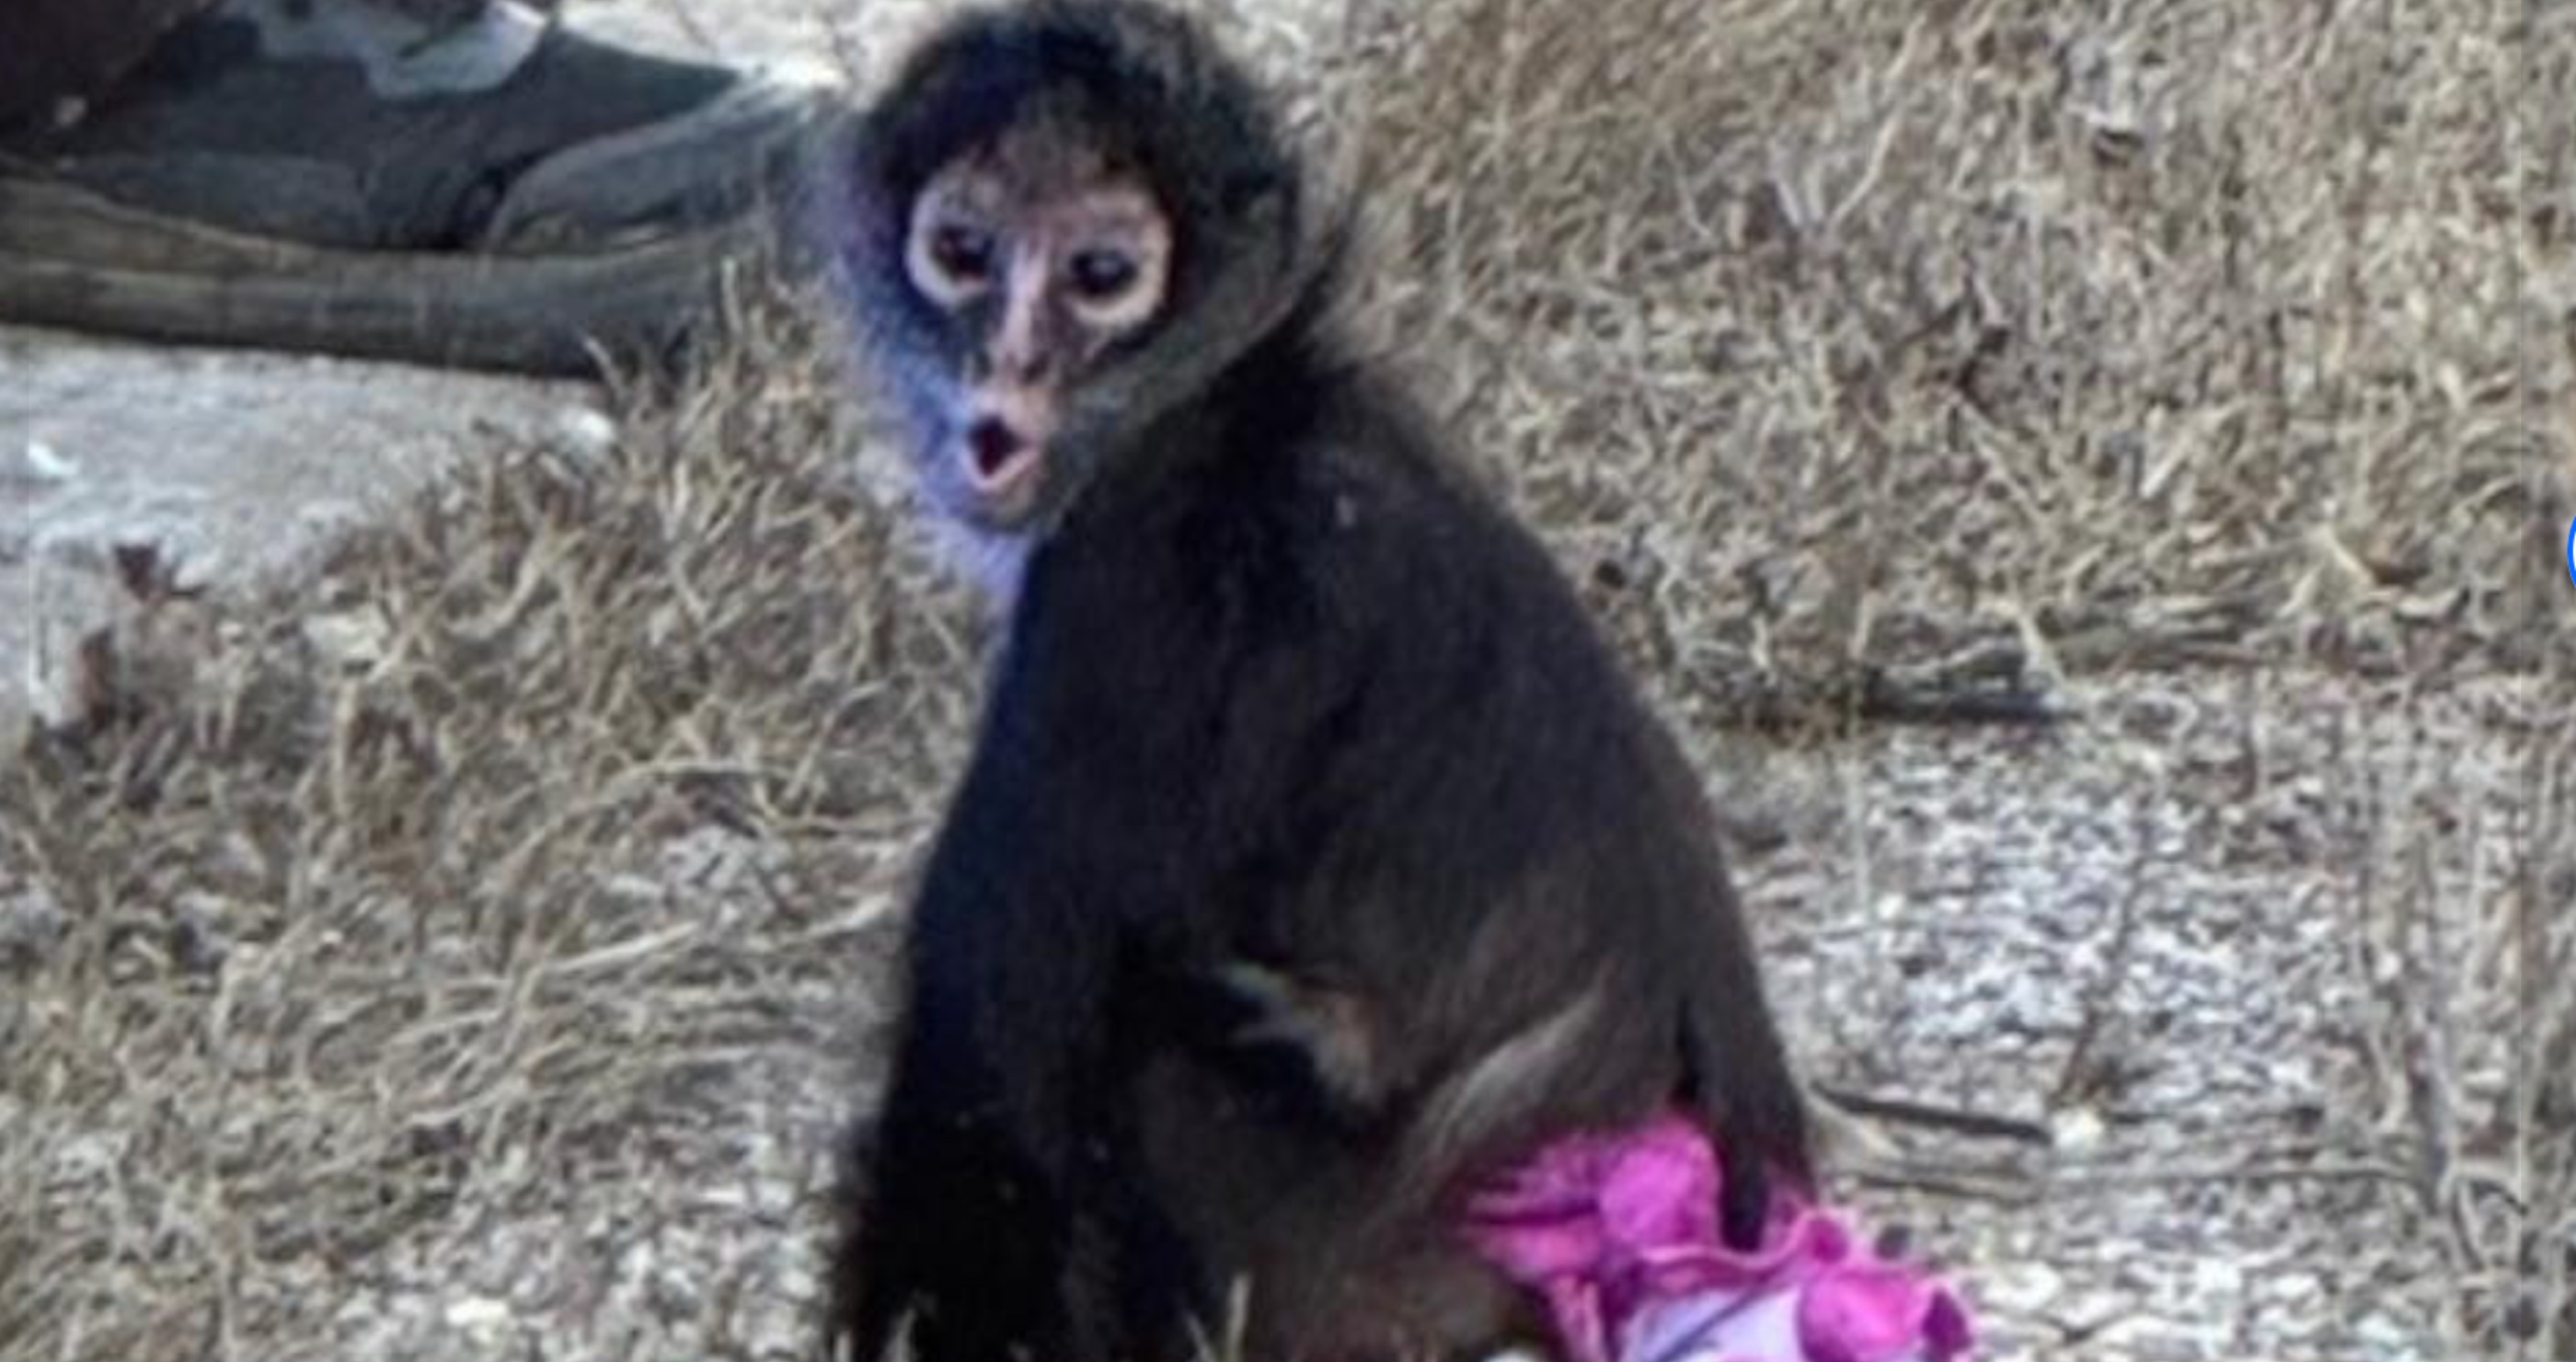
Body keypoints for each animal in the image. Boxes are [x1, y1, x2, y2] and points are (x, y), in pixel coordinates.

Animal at [816, 4, 1813, 1361]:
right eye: (963, 252)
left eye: (1099, 275)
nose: (1011, 365)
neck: (1227, 400)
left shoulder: (1122, 594)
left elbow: (983, 1120)